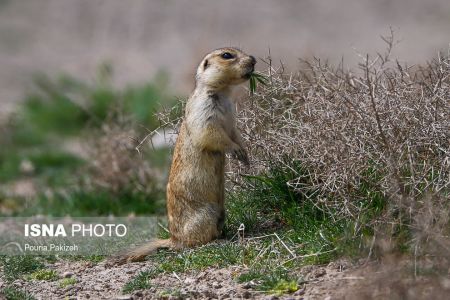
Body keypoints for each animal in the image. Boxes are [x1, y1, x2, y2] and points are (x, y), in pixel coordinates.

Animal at [116, 47, 255, 262]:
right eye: (226, 55)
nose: (254, 60)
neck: (223, 93)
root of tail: (173, 239)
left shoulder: (231, 115)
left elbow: (235, 133)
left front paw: (245, 155)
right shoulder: (204, 110)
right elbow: (211, 133)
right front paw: (235, 150)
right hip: (206, 214)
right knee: (193, 242)